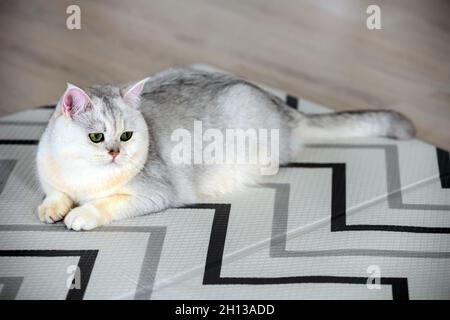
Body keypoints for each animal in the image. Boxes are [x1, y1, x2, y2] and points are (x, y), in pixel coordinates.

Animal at [37, 67, 416, 230]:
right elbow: (54, 192)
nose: (115, 152)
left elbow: (106, 204)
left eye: (127, 136)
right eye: (96, 138)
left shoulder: (155, 195)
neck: (83, 177)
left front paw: (81, 214)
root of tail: (283, 107)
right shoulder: (48, 172)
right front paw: (52, 208)